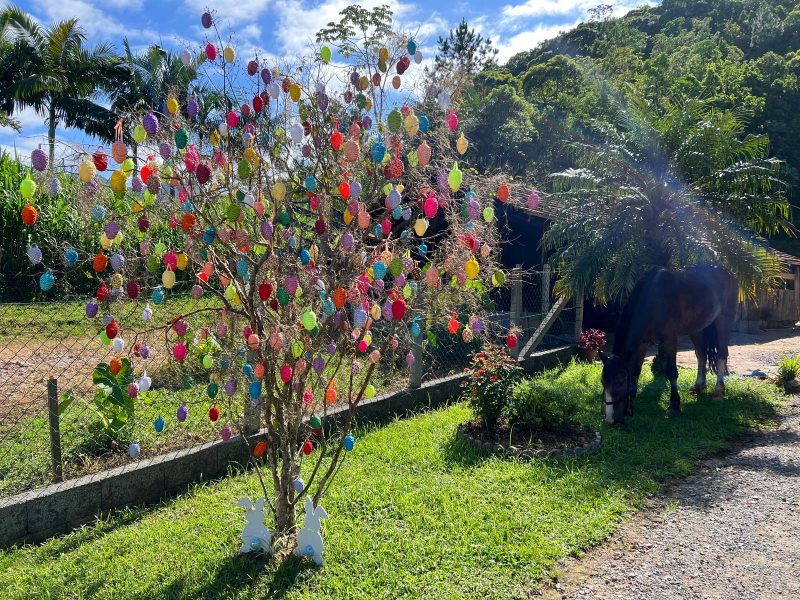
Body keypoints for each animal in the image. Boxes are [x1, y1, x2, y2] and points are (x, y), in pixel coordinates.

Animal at [600, 264, 736, 426]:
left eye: (620, 382)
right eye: (603, 382)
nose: (610, 419)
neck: (653, 298)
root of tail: (728, 273)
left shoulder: (670, 338)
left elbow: (671, 372)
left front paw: (674, 406)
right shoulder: (643, 342)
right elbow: (636, 372)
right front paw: (630, 406)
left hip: (723, 322)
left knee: (721, 354)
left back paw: (719, 392)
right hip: (697, 328)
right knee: (701, 354)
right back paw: (699, 385)